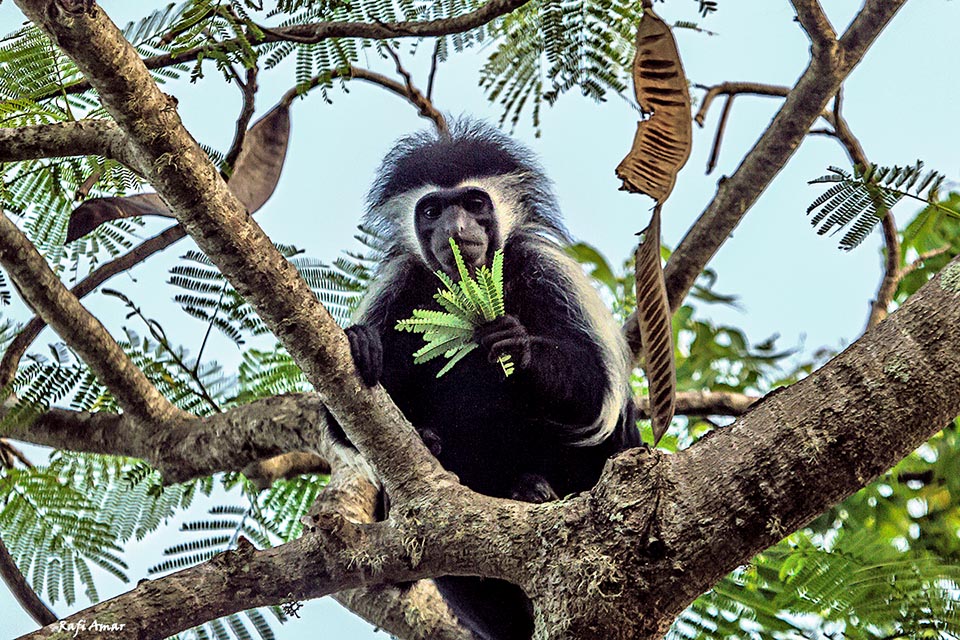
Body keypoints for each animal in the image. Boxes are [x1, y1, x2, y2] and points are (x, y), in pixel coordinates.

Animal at [336, 121, 636, 640]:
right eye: (432, 210)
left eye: (475, 203)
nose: (457, 230)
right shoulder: (399, 285)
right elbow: (339, 420)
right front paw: (364, 346)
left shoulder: (547, 271)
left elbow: (597, 395)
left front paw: (516, 345)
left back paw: (534, 490)